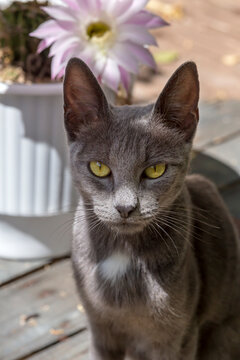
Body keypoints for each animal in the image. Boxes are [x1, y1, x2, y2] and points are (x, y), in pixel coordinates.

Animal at [63, 57, 240, 358]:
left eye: (155, 170)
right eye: (99, 168)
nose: (125, 207)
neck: (123, 253)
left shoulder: (179, 337)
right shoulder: (99, 329)